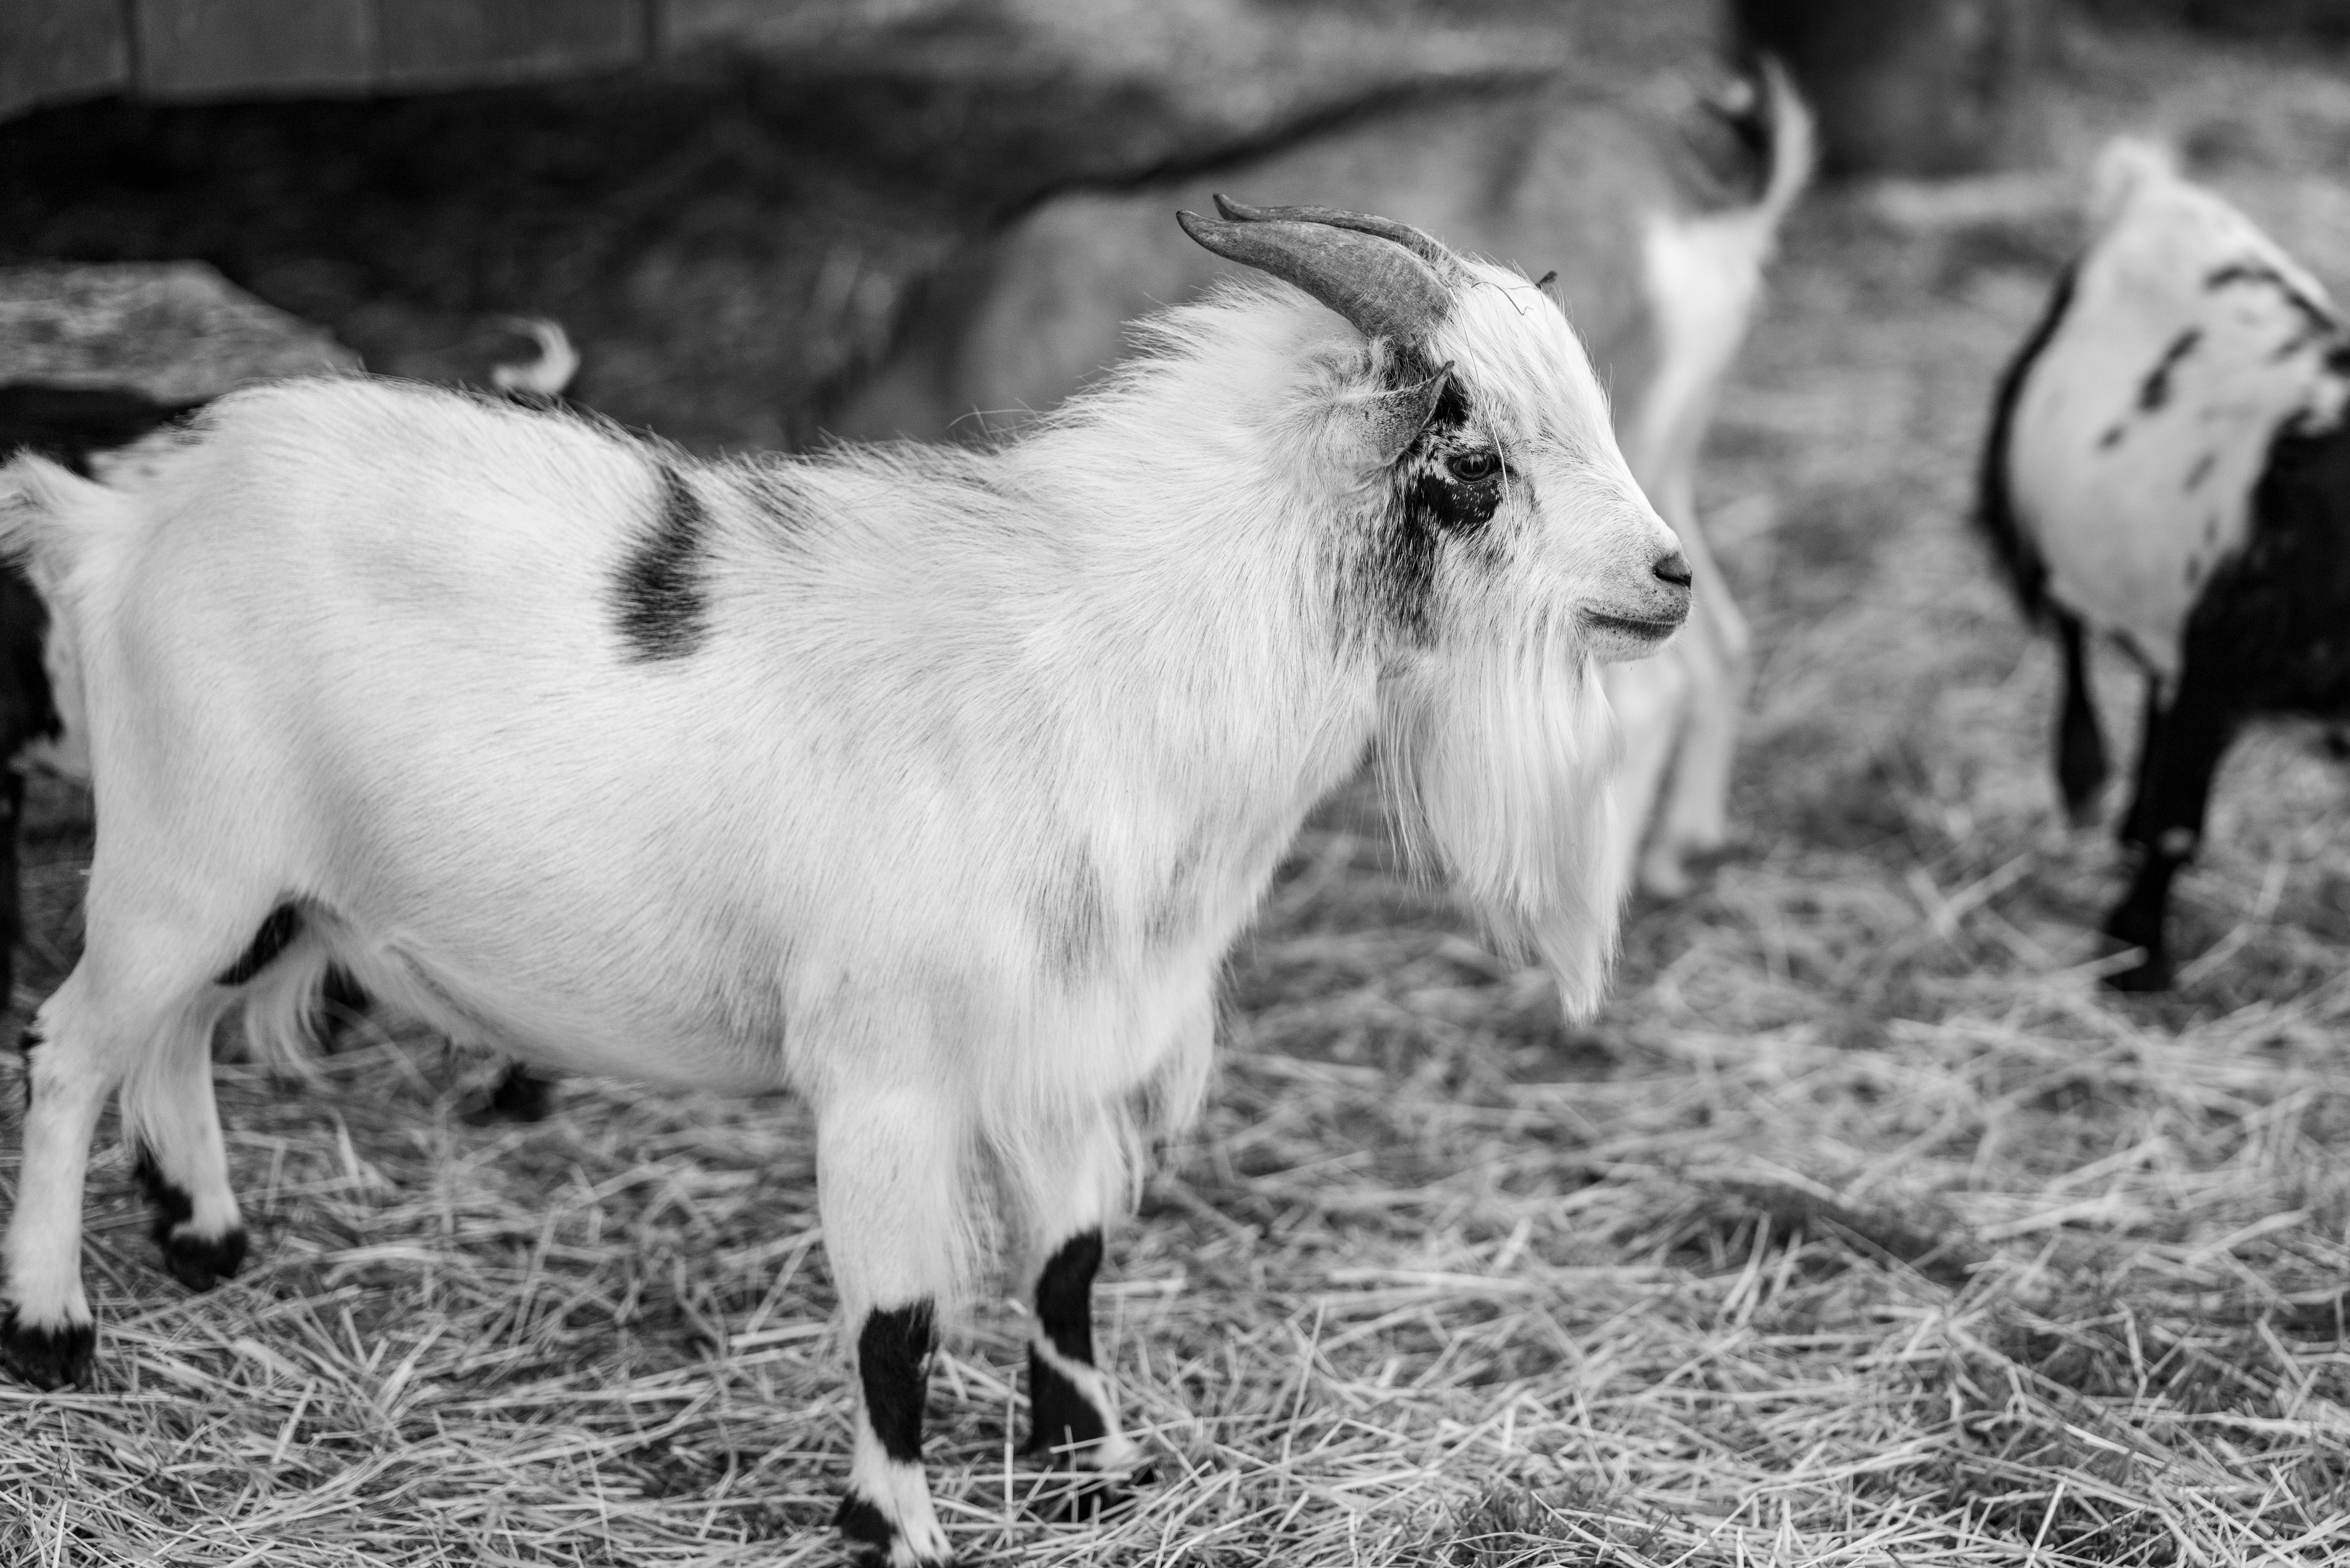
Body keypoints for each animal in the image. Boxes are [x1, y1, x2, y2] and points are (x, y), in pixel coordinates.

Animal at [0, 204, 1688, 1566]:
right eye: (1472, 459)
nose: (1671, 577)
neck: (1097, 653)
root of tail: (121, 516)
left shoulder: (1062, 1043)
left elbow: (1068, 1261)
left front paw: (1095, 1470)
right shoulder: (886, 1073)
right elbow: (897, 1324)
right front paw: (897, 1528)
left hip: (265, 884)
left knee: (173, 1037)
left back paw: (206, 1237)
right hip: (185, 854)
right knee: (76, 1047)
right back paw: (55, 1327)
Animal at [1980, 139, 2350, 990]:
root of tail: (2151, 191)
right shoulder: (2221, 664)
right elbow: (2183, 823)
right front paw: (2136, 952)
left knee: (2151, 673)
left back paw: (2127, 820)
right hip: (2025, 492)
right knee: (2070, 630)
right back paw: (2085, 780)